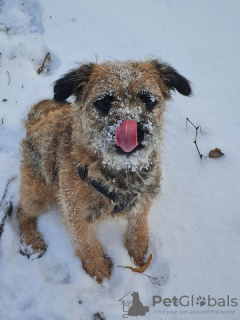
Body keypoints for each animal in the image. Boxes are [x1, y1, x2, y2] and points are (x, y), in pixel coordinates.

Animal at [17, 59, 191, 282]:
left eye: (148, 100)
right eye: (104, 102)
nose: (134, 129)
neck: (119, 173)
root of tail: (36, 122)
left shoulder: (144, 199)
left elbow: (138, 225)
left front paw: (138, 252)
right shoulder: (75, 213)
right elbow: (86, 242)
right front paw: (98, 269)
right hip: (38, 193)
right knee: (21, 212)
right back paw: (33, 241)